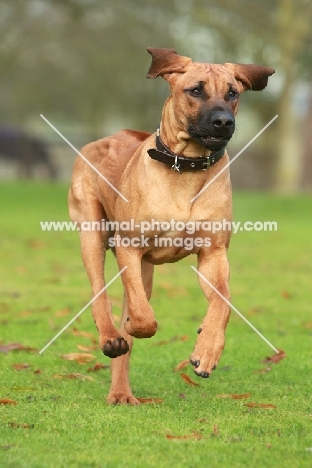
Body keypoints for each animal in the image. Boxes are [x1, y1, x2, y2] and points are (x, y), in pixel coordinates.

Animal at [68, 48, 272, 406]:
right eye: (196, 90)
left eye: (233, 93)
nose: (224, 122)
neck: (186, 167)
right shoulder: (129, 246)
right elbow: (143, 318)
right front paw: (134, 327)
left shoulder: (213, 254)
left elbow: (223, 301)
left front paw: (207, 350)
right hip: (92, 232)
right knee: (99, 293)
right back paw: (111, 337)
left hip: (144, 269)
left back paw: (121, 392)